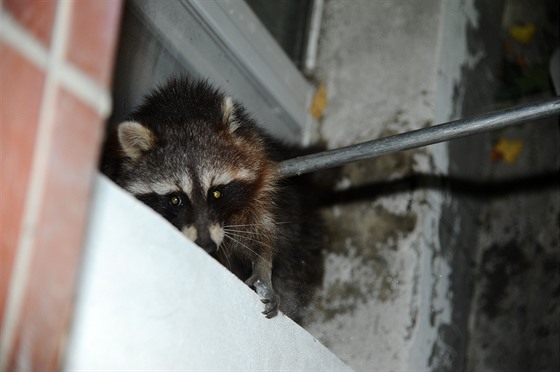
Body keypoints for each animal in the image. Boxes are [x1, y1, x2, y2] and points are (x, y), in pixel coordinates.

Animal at [101, 77, 324, 320]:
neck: (180, 113)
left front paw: (262, 265)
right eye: (175, 200)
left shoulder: (261, 173)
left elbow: (262, 227)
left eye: (216, 192)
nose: (206, 246)